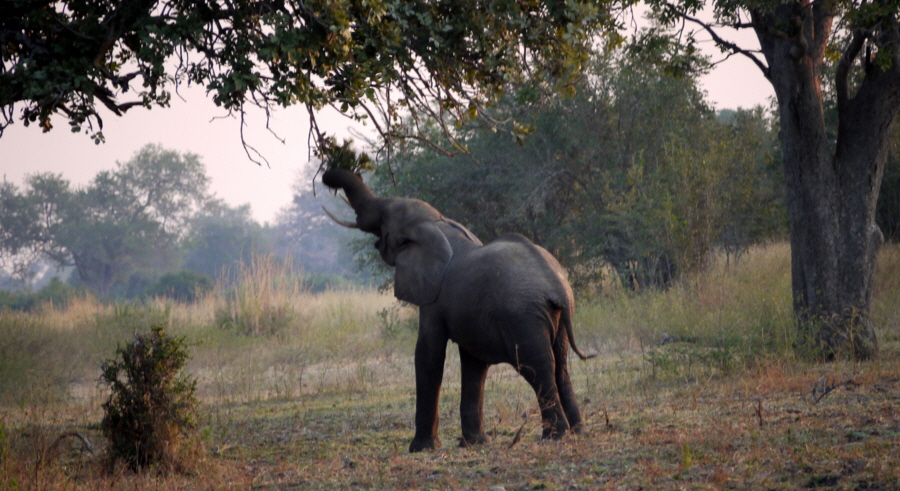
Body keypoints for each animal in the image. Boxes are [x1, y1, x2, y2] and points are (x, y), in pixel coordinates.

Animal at [322, 168, 595, 453]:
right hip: (557, 316)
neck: (438, 224)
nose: (326, 177)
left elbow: (428, 353)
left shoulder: (433, 298)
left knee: (537, 367)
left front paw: (421, 448)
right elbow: (473, 363)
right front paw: (474, 443)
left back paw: (555, 437)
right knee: (560, 365)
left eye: (383, 217)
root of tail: (557, 285)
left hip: (523, 317)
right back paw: (578, 432)